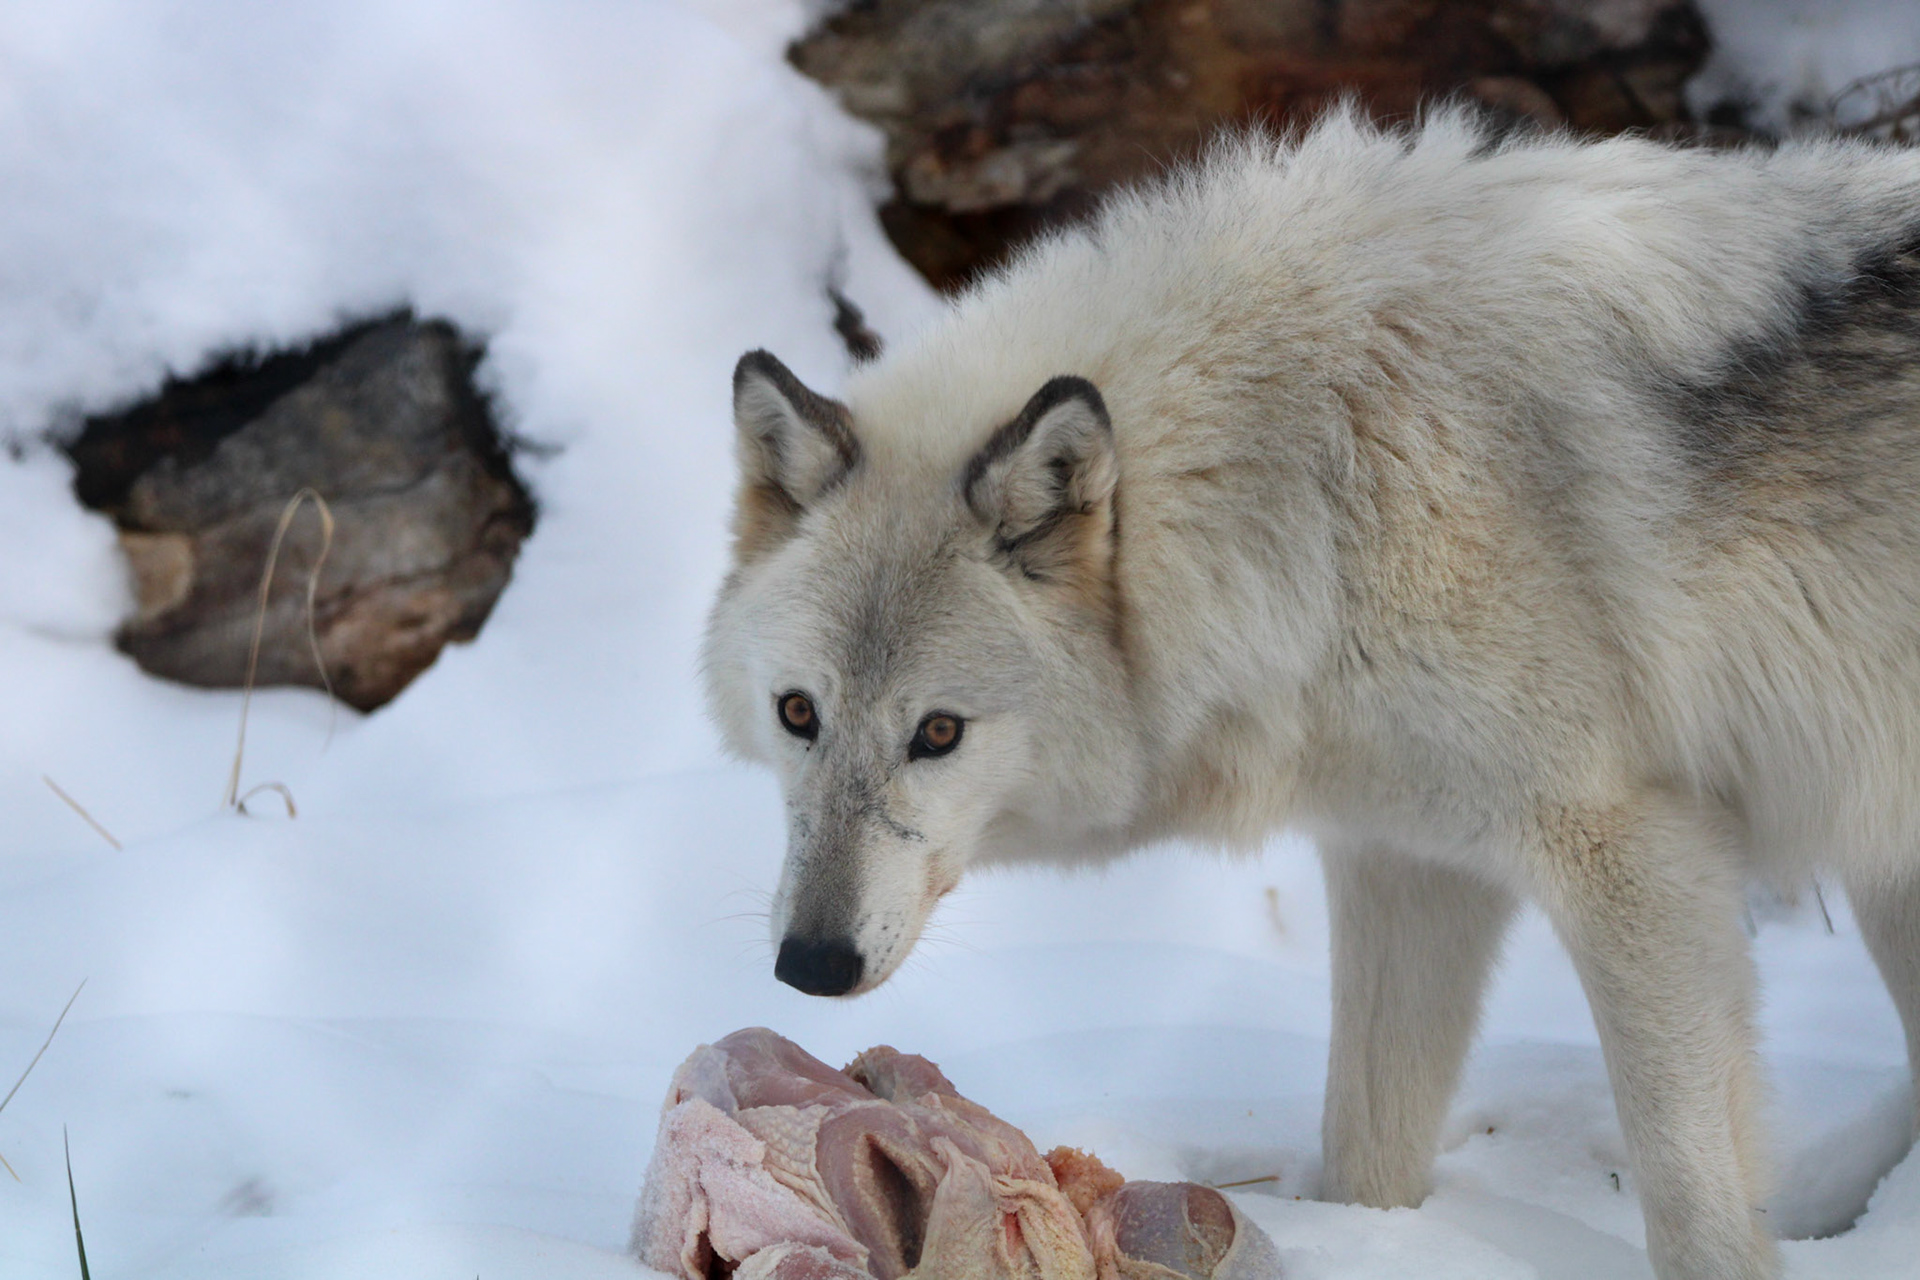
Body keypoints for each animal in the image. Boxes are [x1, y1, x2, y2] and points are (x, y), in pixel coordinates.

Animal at [701, 108, 1920, 1279]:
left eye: (938, 732)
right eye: (799, 714)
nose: (809, 965)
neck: (1323, 475)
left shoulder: (1638, 862)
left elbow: (1693, 1206)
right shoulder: (1407, 863)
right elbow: (1366, 1156)